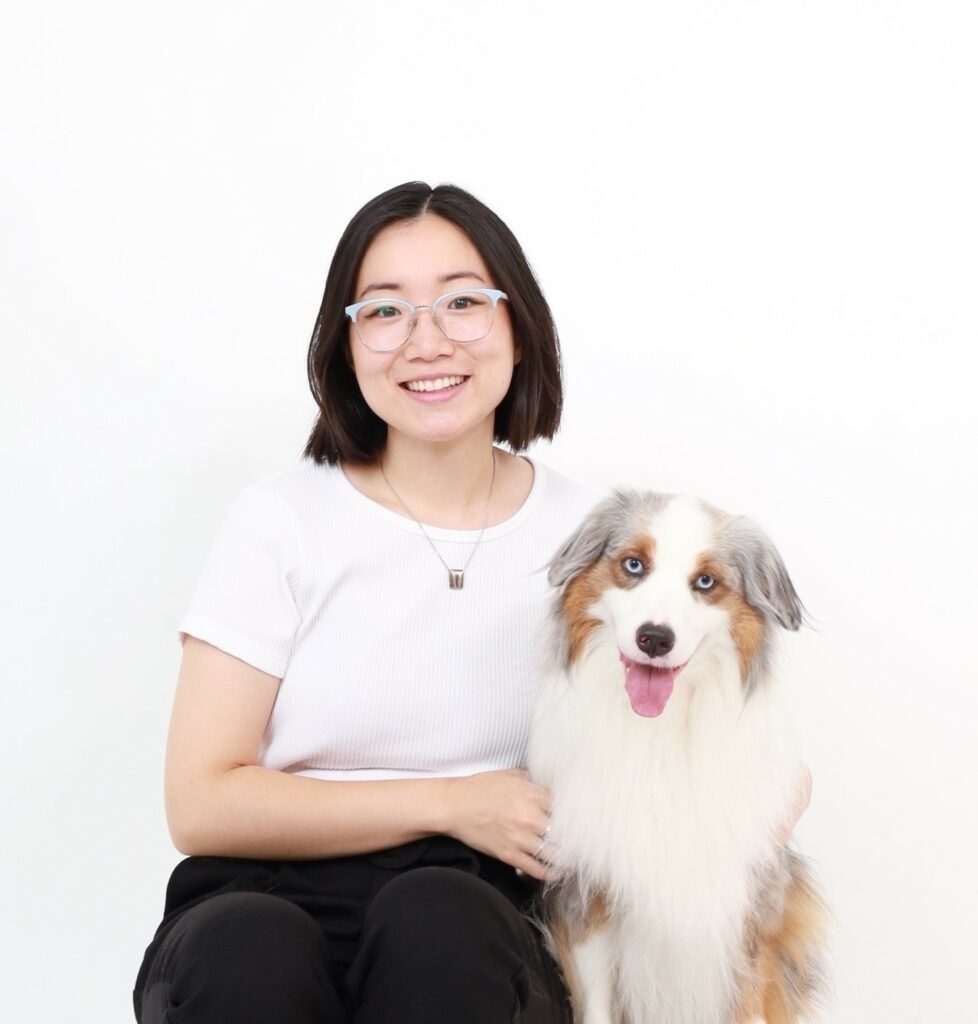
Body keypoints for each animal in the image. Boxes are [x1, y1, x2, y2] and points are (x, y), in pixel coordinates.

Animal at [532, 491, 831, 1019]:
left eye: (706, 582)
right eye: (633, 565)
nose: (655, 638)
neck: (663, 734)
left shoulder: (754, 908)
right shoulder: (588, 893)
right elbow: (598, 1005)